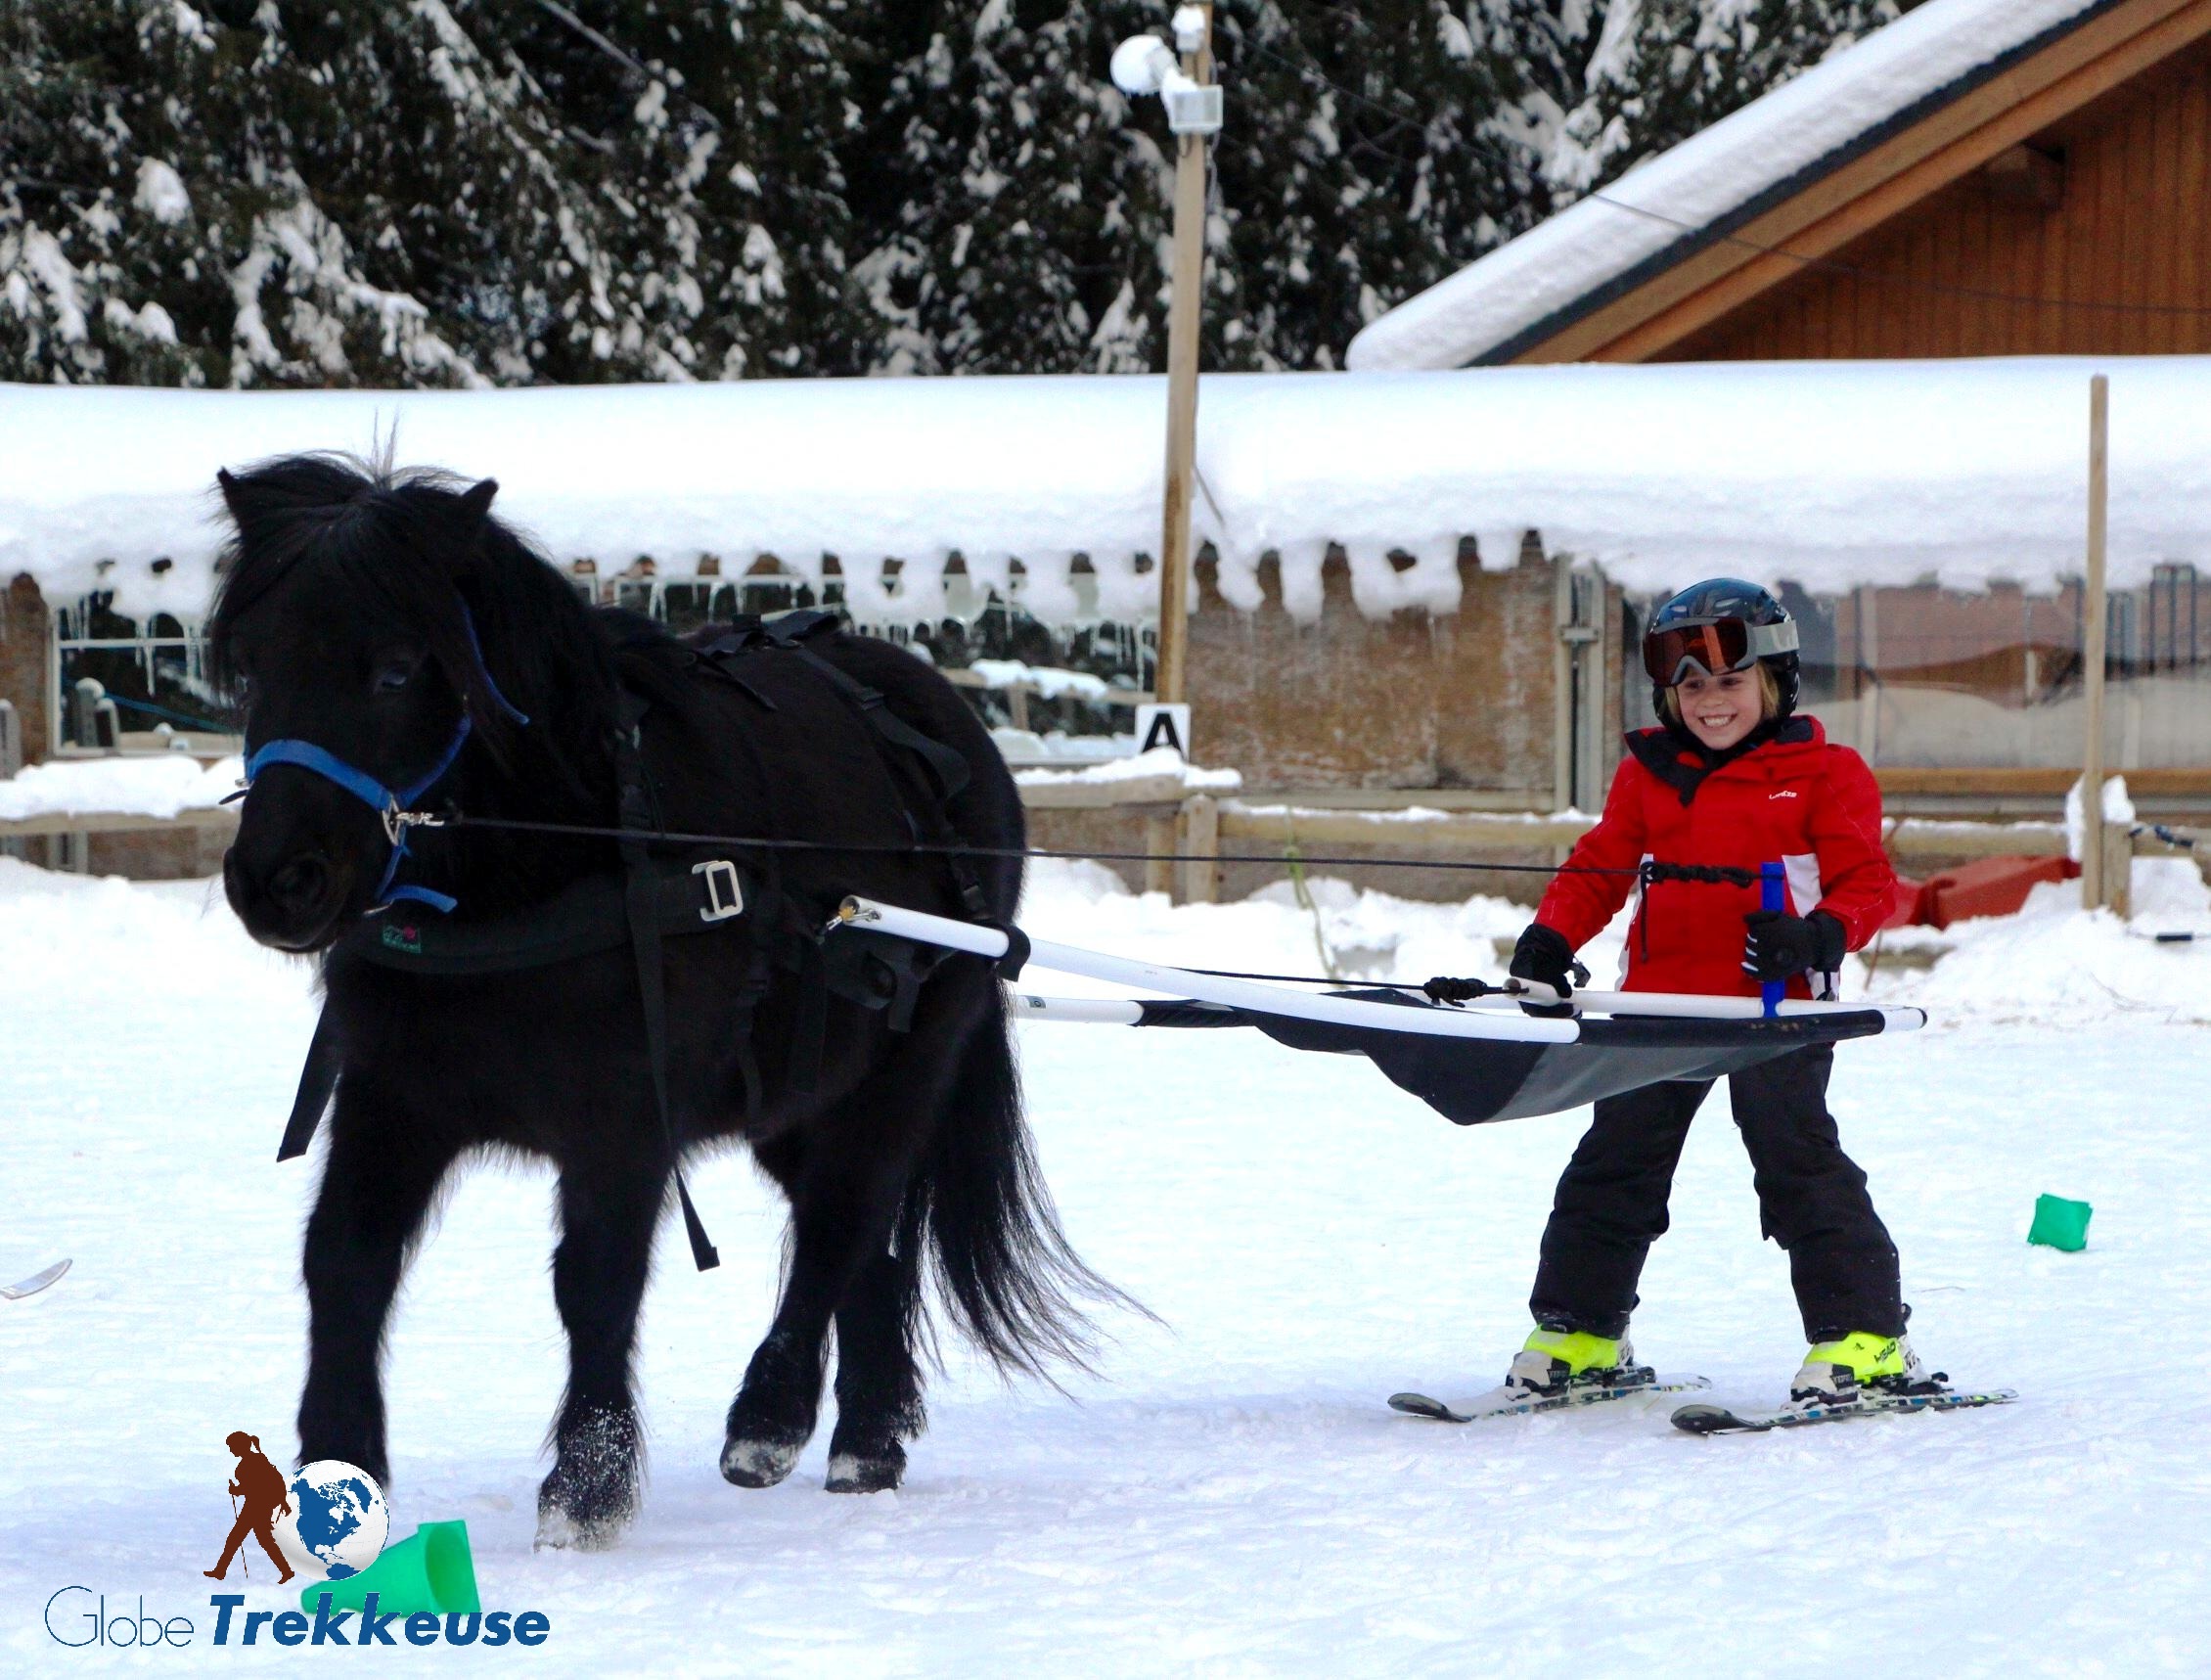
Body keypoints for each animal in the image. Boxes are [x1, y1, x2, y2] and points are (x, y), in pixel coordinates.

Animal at [215, 448, 1114, 1547]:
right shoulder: (396, 1100)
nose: (277, 880)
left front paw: (585, 1490)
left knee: (842, 1220)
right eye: (254, 663)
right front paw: (340, 1476)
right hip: (801, 1094)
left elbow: (595, 1283)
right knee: (870, 1241)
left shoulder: (621, 1122)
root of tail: (946, 728)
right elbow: (345, 1261)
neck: (543, 865)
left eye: (392, 668)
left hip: (907, 1064)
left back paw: (771, 1419)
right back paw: (868, 1438)